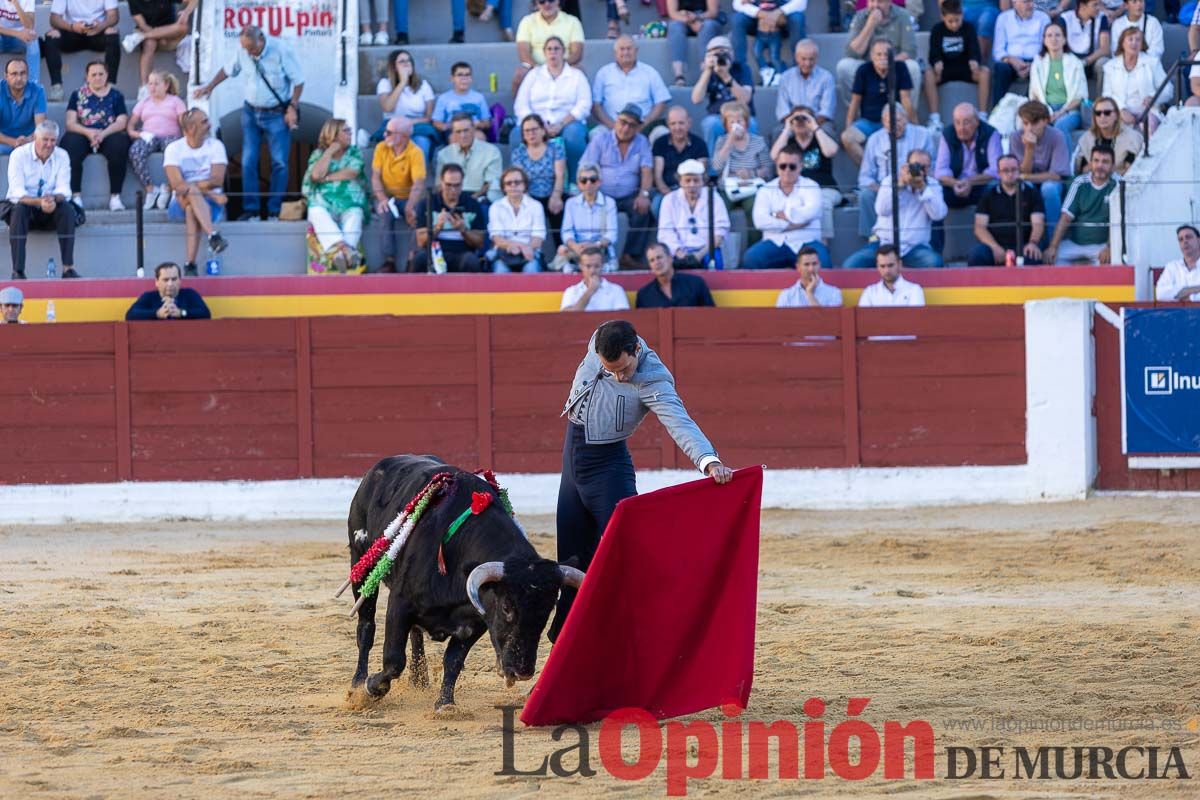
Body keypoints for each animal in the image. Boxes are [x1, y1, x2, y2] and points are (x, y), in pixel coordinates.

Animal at [345, 453, 583, 710]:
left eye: (548, 610)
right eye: (506, 607)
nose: (522, 670)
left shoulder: (475, 620)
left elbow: (453, 660)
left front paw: (445, 704)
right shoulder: (400, 602)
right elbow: (394, 660)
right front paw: (370, 688)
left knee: (416, 633)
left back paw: (420, 679)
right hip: (360, 561)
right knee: (366, 626)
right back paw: (358, 683)